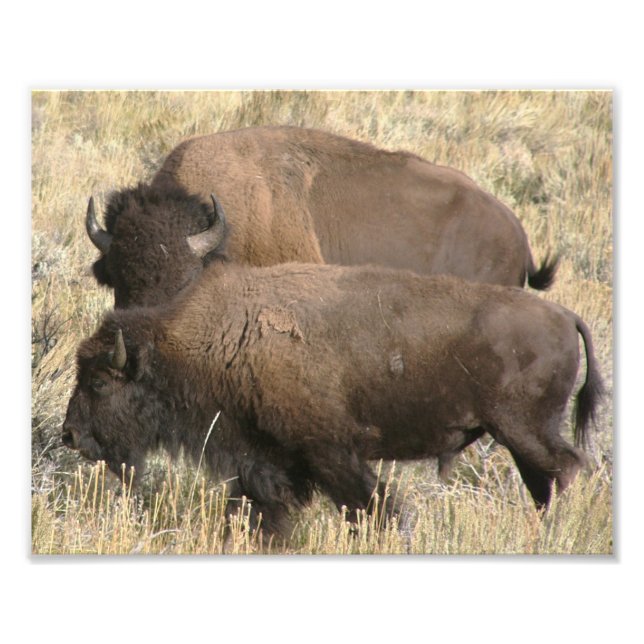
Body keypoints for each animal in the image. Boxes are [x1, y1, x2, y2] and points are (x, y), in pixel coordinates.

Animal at [62, 253, 602, 537]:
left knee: (566, 468)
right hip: (519, 437)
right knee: (546, 480)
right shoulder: (264, 460)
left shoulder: (328, 451)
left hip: (523, 429)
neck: (225, 338)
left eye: (97, 382)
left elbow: (371, 505)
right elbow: (263, 508)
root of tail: (565, 317)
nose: (70, 435)